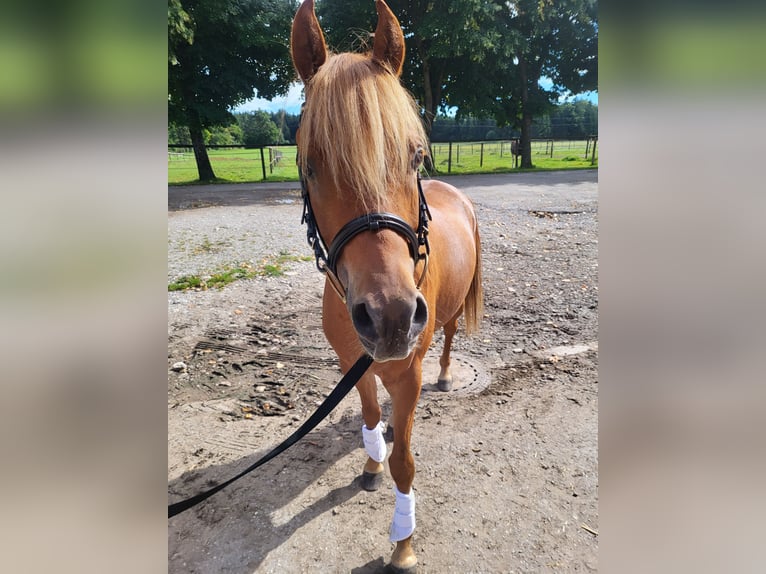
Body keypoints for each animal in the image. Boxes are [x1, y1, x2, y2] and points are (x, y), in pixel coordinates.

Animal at [291, 1, 483, 571]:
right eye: (311, 164)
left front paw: (403, 542)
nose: (391, 317)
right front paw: (371, 462)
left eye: (415, 155)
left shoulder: (405, 372)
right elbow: (372, 415)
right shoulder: (350, 361)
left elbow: (405, 464)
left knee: (447, 336)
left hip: (445, 318)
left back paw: (446, 374)